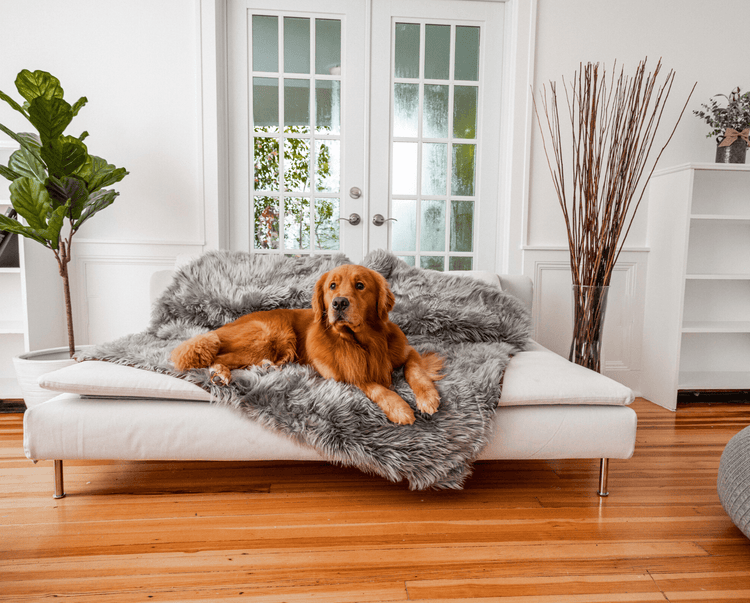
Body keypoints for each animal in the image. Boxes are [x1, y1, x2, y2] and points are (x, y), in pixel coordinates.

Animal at [173, 264, 444, 424]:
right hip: (272, 335)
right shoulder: (346, 375)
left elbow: (416, 372)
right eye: (332, 286)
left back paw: (265, 367)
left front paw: (428, 398)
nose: (339, 303)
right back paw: (221, 373)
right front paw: (400, 408)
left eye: (360, 286)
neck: (362, 341)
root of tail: (227, 324)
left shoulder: (409, 352)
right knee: (219, 356)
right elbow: (377, 387)